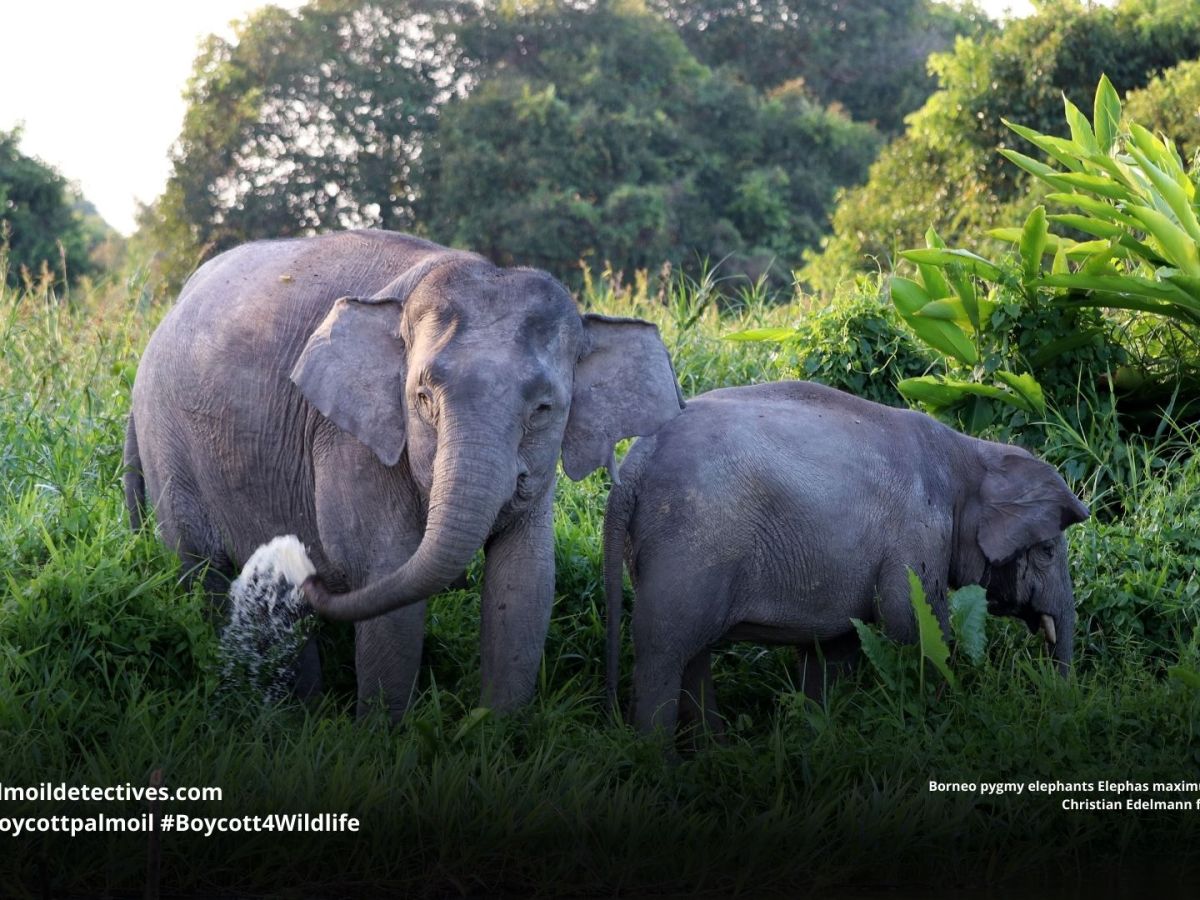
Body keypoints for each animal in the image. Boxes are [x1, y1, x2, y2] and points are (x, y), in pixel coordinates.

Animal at [124, 229, 683, 719]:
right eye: (423, 397)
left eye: (545, 409)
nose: (307, 568)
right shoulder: (349, 437)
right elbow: (386, 578)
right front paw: (383, 740)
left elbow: (524, 584)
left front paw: (493, 732)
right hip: (168, 446)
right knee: (202, 573)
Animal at [602, 380, 1089, 737]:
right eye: (1047, 552)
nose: (1060, 701)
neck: (972, 450)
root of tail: (634, 465)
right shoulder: (916, 535)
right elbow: (914, 628)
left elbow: (835, 650)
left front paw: (817, 734)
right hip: (689, 544)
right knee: (663, 650)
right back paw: (659, 763)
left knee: (691, 652)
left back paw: (712, 754)